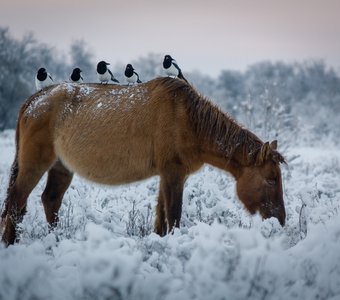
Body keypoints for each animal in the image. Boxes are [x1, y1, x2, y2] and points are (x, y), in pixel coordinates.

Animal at [1, 78, 286, 246]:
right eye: (271, 178)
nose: (280, 220)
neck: (188, 120)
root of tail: (34, 101)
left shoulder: (167, 176)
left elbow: (161, 218)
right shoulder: (173, 174)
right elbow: (174, 215)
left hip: (61, 168)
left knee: (50, 201)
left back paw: (56, 239)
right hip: (34, 165)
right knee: (17, 202)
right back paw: (10, 242)